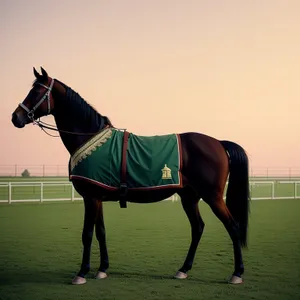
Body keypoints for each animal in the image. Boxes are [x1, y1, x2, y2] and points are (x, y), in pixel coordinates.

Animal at [11, 68, 250, 286]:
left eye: (37, 91)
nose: (16, 117)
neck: (90, 138)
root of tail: (218, 143)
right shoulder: (97, 198)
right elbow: (101, 232)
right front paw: (102, 269)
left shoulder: (90, 197)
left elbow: (87, 234)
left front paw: (82, 273)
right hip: (189, 197)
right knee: (198, 228)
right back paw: (183, 270)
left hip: (213, 197)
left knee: (233, 226)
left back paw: (237, 273)